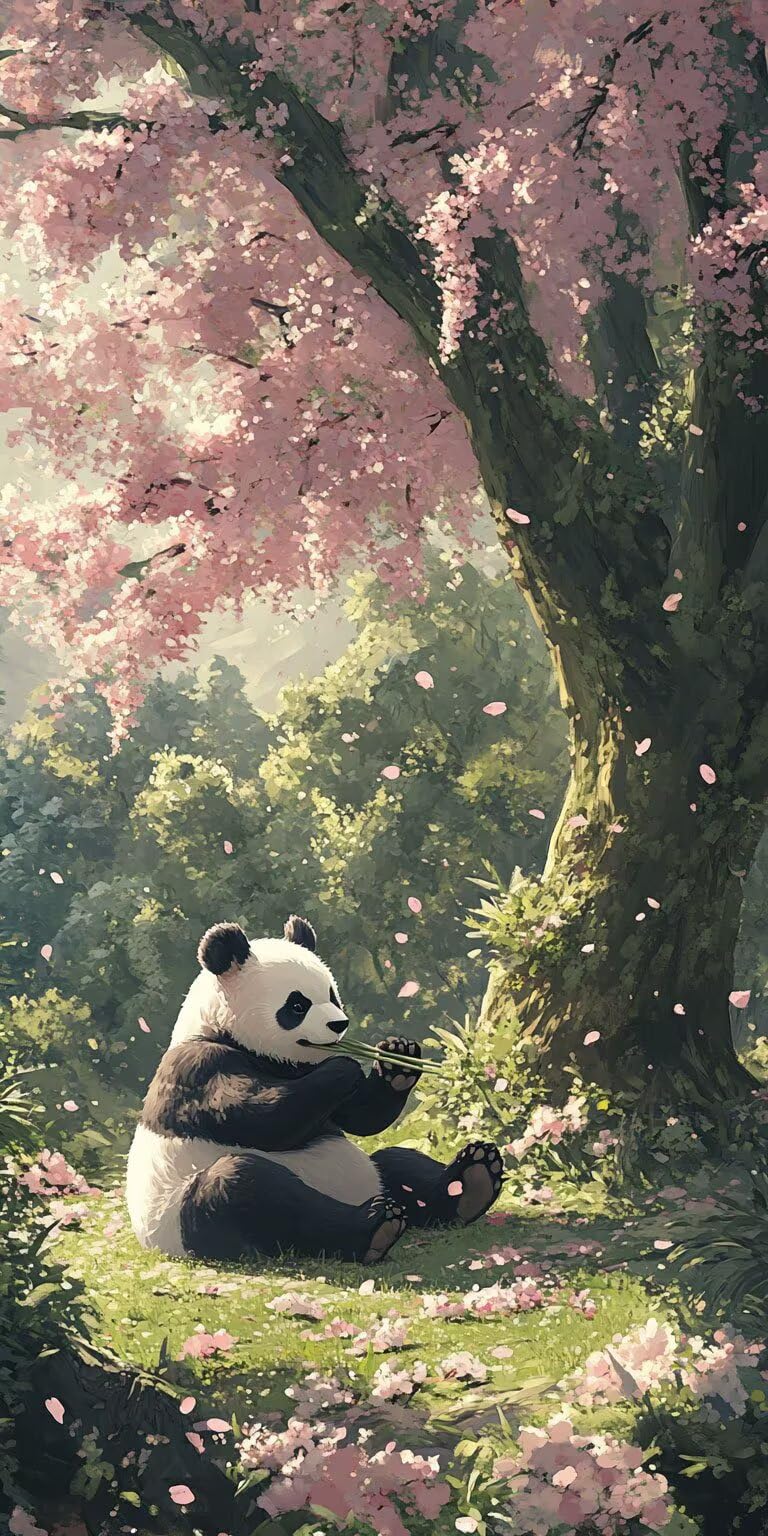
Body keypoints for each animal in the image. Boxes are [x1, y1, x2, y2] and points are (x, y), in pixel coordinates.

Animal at [126, 915, 504, 1266]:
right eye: (297, 1005)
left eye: (332, 995)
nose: (339, 1024)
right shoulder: (198, 1069)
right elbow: (262, 1120)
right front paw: (343, 1066)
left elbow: (360, 1118)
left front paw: (399, 1056)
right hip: (189, 1217)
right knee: (252, 1192)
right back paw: (373, 1227)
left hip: (374, 1172)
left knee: (396, 1162)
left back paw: (474, 1180)